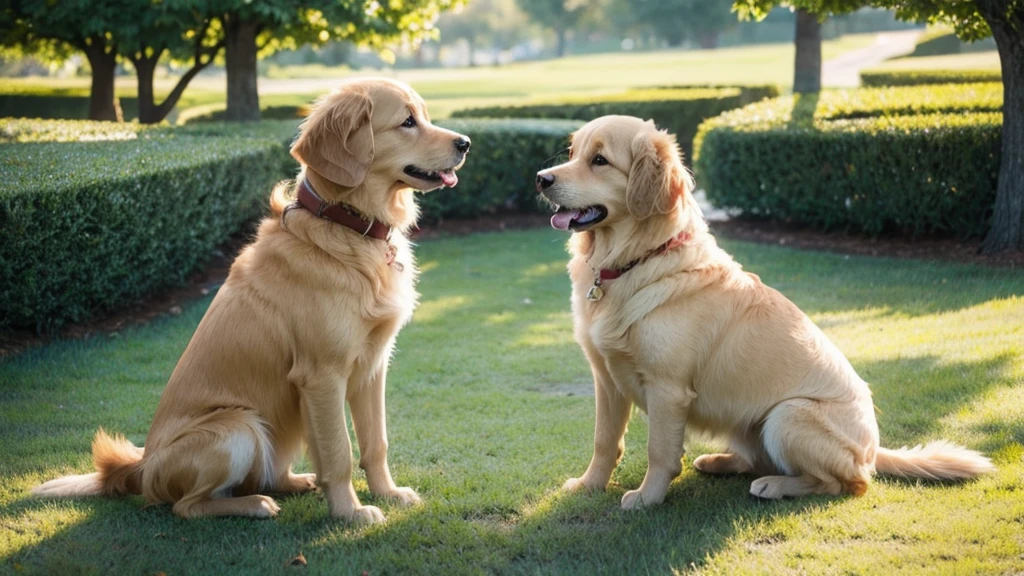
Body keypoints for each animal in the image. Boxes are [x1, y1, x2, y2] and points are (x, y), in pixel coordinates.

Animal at [32, 78, 471, 522]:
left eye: (424, 115)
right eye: (407, 122)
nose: (466, 143)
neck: (346, 225)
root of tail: (141, 466)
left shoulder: (371, 368)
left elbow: (374, 443)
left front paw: (387, 492)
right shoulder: (322, 374)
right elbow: (339, 453)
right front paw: (351, 513)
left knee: (269, 475)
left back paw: (296, 482)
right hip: (237, 427)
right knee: (187, 506)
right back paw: (255, 504)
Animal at [536, 115, 991, 506]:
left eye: (600, 160)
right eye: (573, 152)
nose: (541, 178)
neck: (635, 261)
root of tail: (873, 450)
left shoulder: (668, 388)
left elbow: (659, 452)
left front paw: (647, 499)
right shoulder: (606, 377)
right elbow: (604, 441)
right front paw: (589, 485)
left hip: (789, 415)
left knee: (846, 483)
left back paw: (775, 485)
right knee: (758, 459)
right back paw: (720, 461)